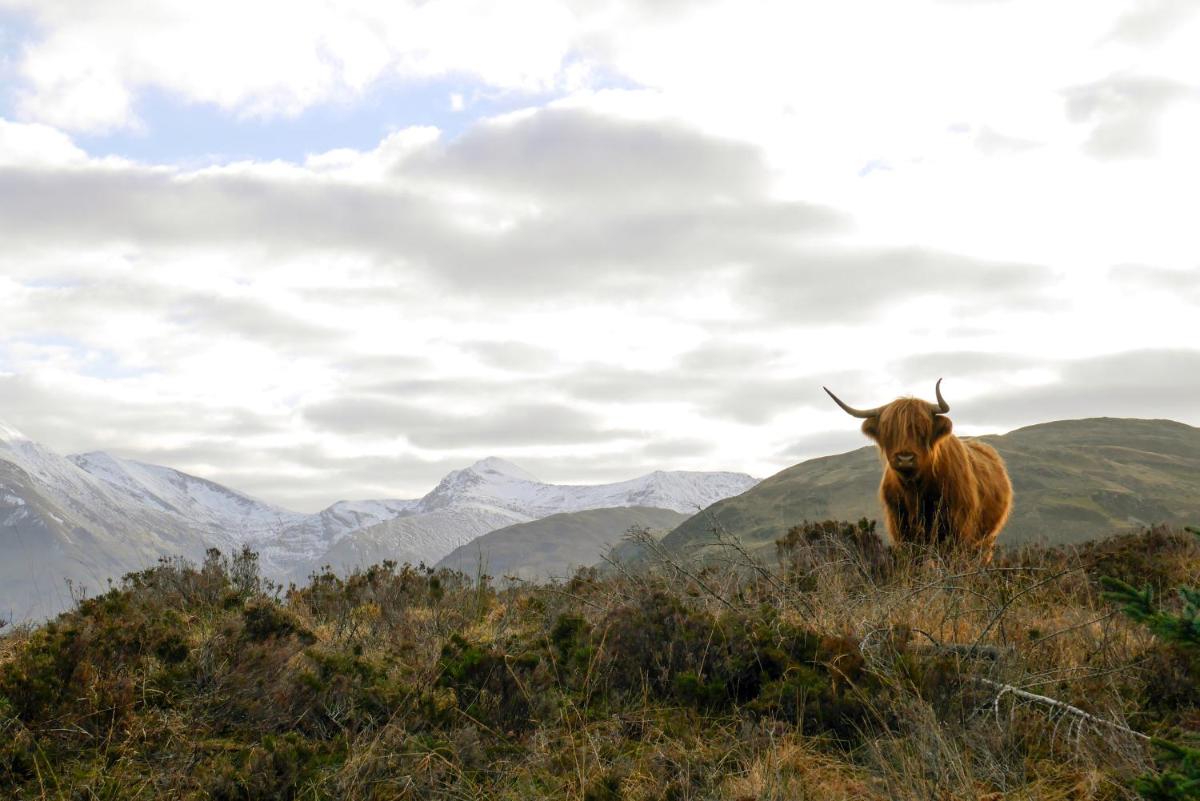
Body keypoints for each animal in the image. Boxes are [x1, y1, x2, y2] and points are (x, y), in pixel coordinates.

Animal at [820, 378, 1008, 561]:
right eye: (889, 430)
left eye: (922, 428)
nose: (905, 458)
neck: (914, 489)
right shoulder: (900, 527)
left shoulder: (958, 527)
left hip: (987, 539)